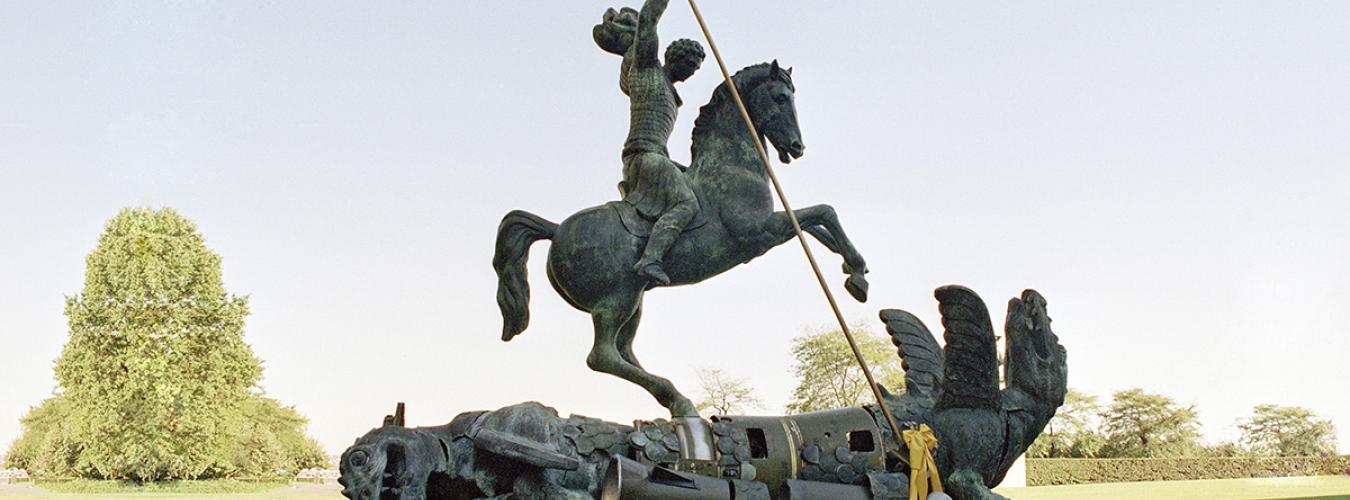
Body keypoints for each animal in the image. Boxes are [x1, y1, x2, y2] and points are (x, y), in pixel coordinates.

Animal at [494, 60, 864, 416]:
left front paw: (852, 271)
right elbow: (823, 212)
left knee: (624, 351)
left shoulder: (772, 226)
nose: (797, 147)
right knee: (602, 356)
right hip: (616, 300)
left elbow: (816, 224)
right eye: (781, 98)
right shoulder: (759, 232)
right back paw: (679, 400)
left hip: (634, 299)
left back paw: (674, 399)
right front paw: (858, 276)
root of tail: (556, 229)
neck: (731, 163)